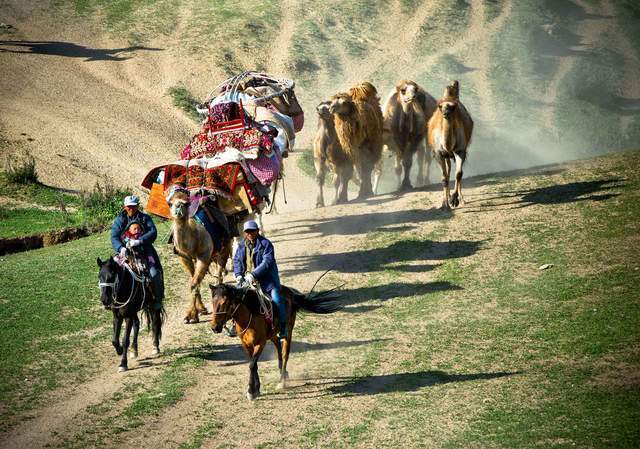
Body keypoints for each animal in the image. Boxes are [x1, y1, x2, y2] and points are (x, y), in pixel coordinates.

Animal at [165, 186, 232, 322]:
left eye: (187, 203)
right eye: (170, 203)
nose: (179, 207)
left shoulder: (204, 256)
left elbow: (194, 284)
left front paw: (190, 315)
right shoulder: (184, 257)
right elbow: (193, 282)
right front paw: (199, 311)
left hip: (225, 247)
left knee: (220, 272)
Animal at [209, 282, 340, 400]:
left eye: (224, 303)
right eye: (212, 302)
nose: (214, 327)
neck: (250, 314)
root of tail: (291, 293)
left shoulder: (260, 343)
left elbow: (252, 365)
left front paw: (251, 391)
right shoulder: (246, 344)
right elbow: (254, 364)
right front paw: (256, 389)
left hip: (288, 331)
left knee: (285, 353)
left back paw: (282, 381)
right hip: (271, 334)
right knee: (277, 343)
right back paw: (283, 372)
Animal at [428, 81, 472, 210]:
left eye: (453, 107)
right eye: (440, 106)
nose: (446, 113)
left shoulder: (460, 151)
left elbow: (459, 174)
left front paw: (454, 200)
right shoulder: (438, 153)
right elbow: (444, 178)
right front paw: (444, 204)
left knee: (454, 172)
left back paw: (461, 200)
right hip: (445, 156)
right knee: (447, 172)